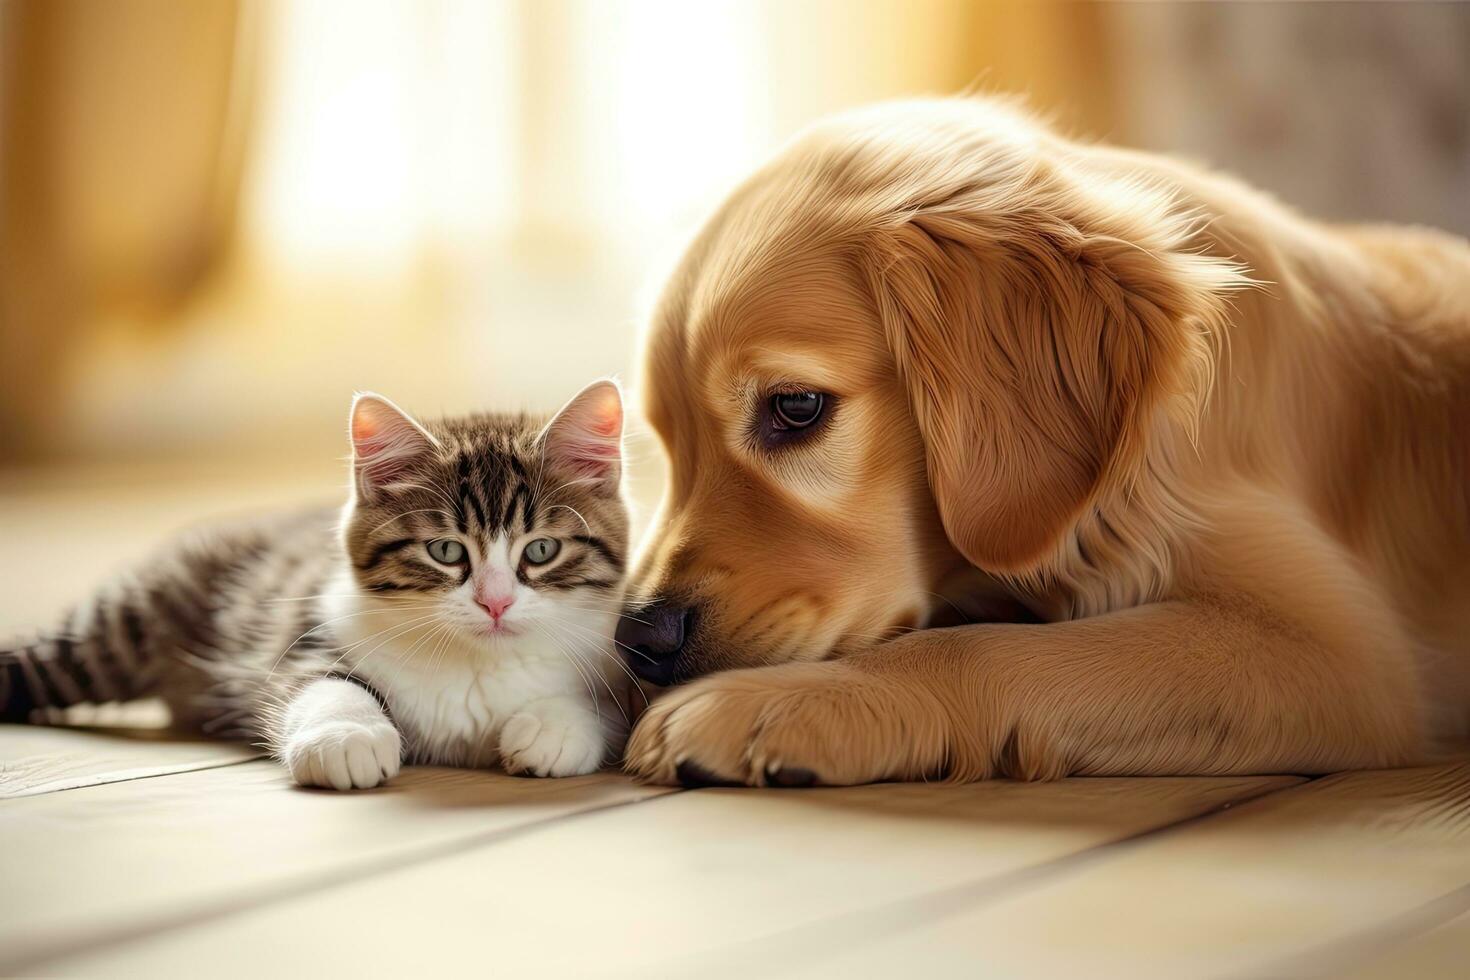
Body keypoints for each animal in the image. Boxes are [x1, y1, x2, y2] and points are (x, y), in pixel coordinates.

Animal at [0, 382, 632, 787]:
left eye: (541, 550)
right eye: (446, 551)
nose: (495, 602)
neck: (475, 662)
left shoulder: (618, 661)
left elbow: (604, 707)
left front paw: (554, 728)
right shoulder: (306, 629)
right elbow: (319, 682)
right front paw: (348, 737)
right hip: (122, 628)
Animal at [611, 97, 1470, 787]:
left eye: (796, 407)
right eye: (667, 446)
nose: (639, 638)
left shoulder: (1339, 653)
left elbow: (982, 648)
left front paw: (783, 703)